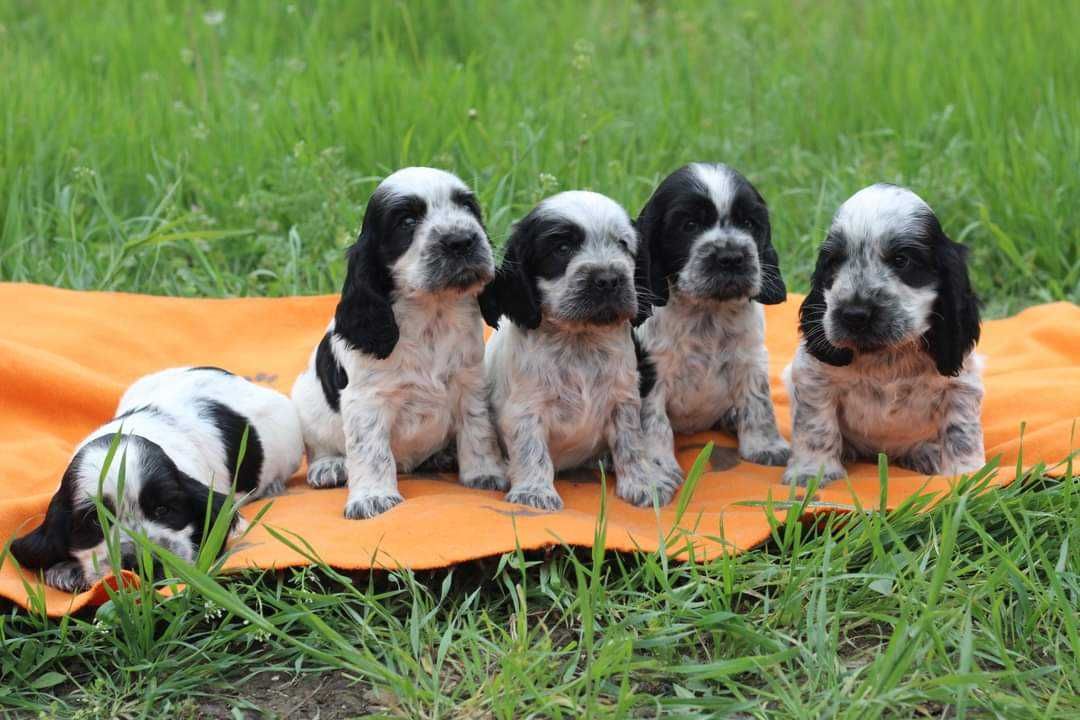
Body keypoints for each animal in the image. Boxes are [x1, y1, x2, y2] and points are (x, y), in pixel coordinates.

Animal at [289, 167, 503, 520]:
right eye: (406, 221)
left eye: (468, 207)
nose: (461, 240)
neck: (431, 314)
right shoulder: (367, 401)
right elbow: (371, 451)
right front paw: (373, 498)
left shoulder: (470, 383)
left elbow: (477, 430)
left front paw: (485, 473)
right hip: (305, 401)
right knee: (319, 445)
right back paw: (330, 466)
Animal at [477, 188, 678, 509]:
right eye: (561, 248)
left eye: (622, 244)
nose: (608, 279)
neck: (579, 340)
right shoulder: (525, 407)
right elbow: (531, 448)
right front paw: (535, 492)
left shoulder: (623, 399)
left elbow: (631, 444)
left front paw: (643, 483)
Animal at [630, 162, 794, 468]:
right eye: (689, 225)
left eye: (748, 224)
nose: (731, 258)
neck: (707, 310)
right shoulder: (652, 367)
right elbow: (653, 421)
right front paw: (657, 466)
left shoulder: (751, 358)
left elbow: (759, 403)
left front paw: (765, 446)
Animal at [781, 183, 984, 487]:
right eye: (834, 262)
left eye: (902, 260)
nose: (854, 314)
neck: (886, 356)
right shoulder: (814, 378)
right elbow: (816, 426)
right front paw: (813, 472)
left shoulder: (961, 385)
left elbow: (962, 433)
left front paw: (968, 474)